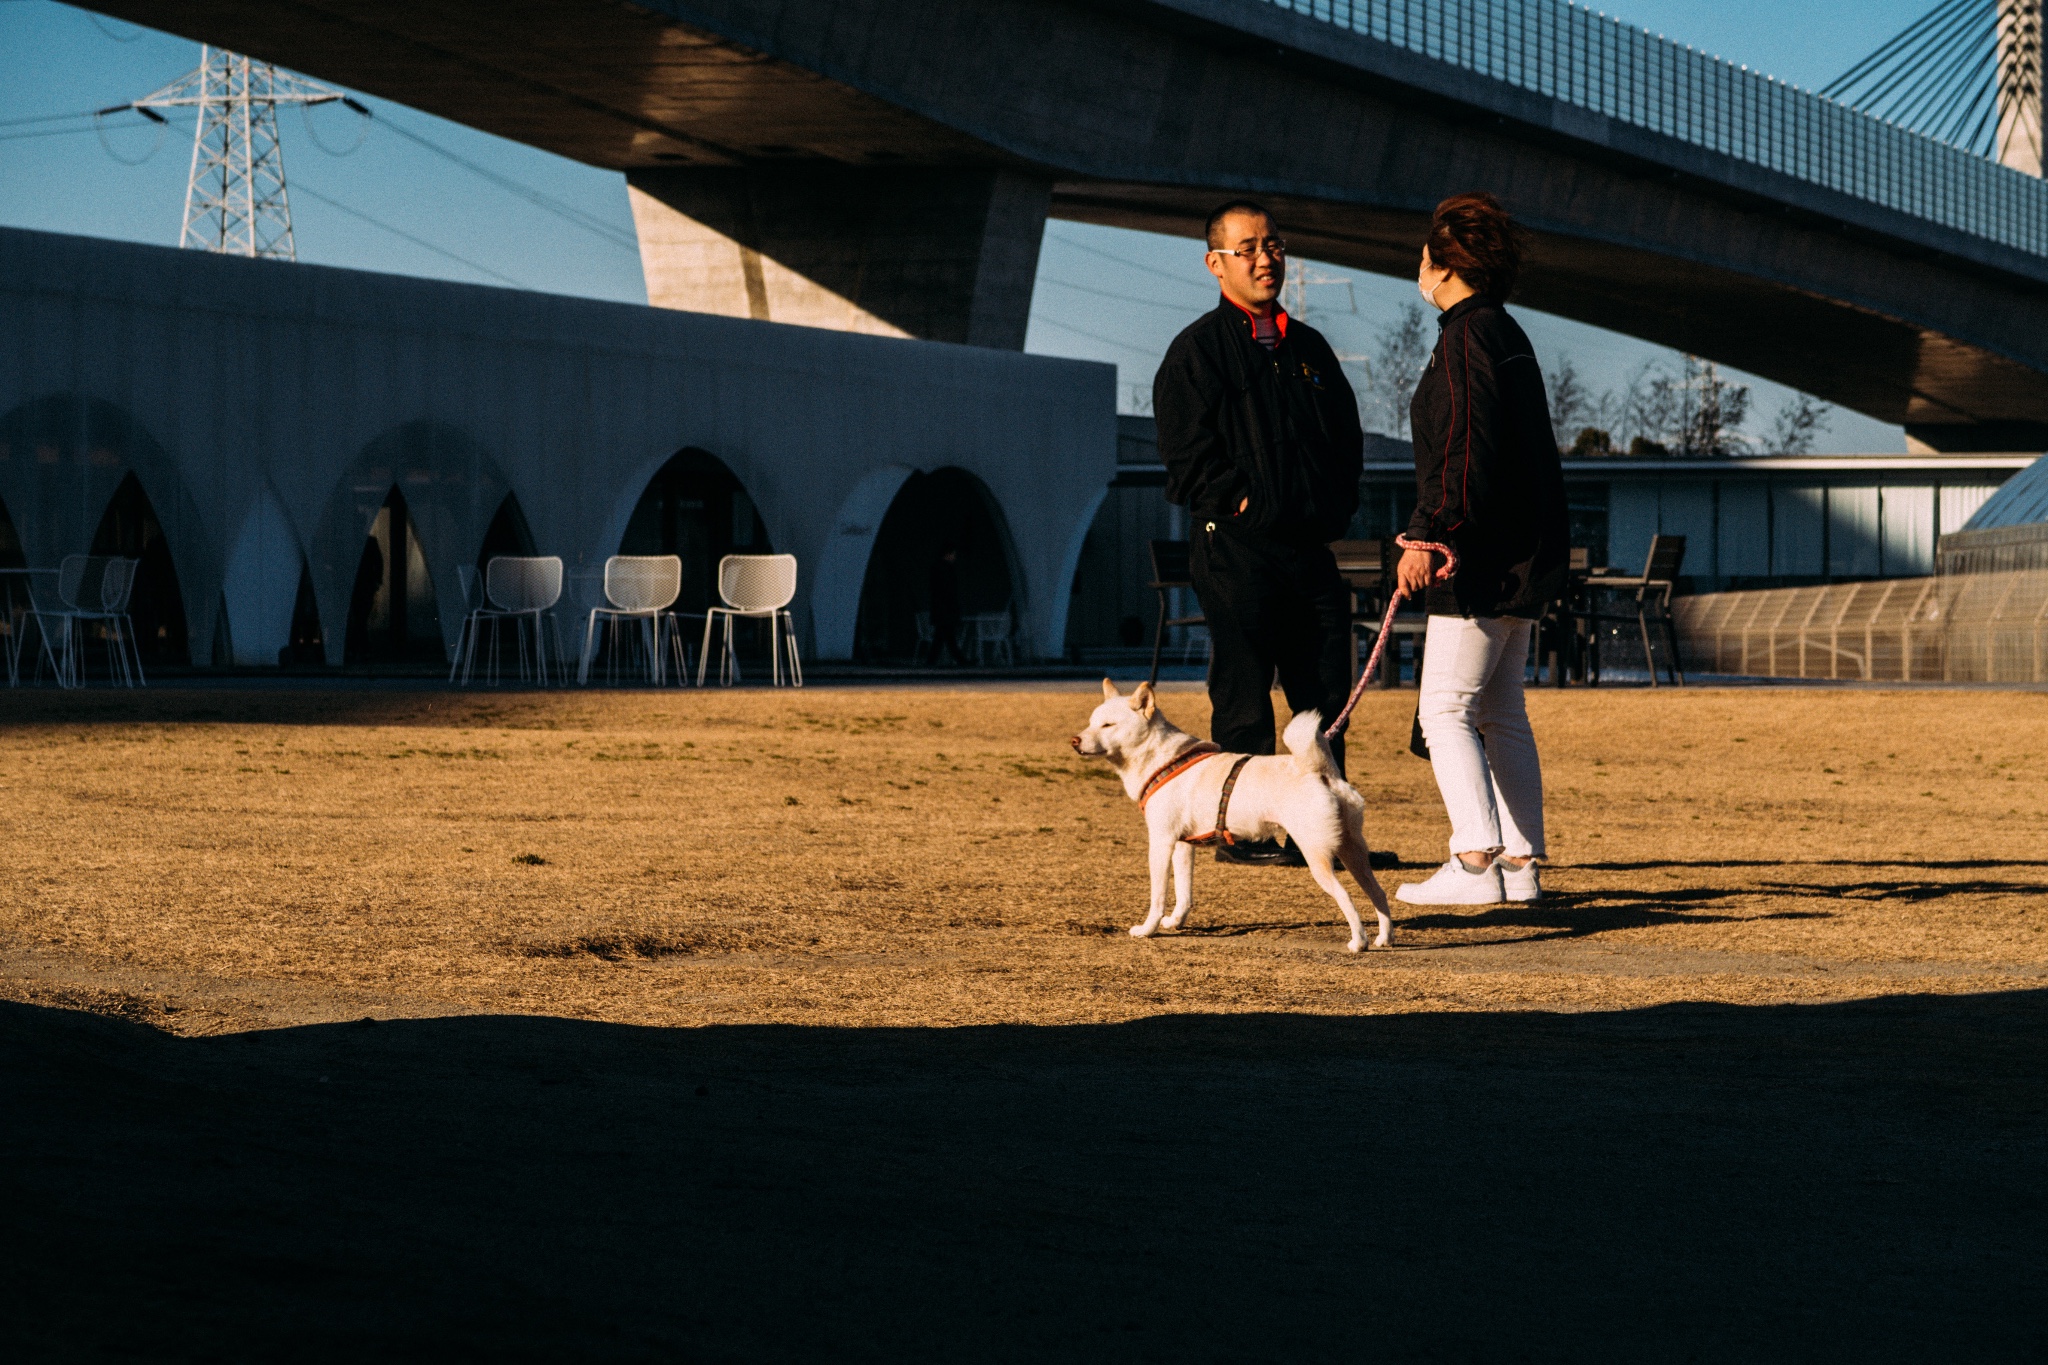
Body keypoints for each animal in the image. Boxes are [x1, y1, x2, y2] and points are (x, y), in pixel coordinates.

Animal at [1073, 679, 1392, 957]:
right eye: (1090, 722)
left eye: (1108, 725)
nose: (1075, 741)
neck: (1160, 759)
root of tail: (1319, 770)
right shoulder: (1183, 846)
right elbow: (1184, 893)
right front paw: (1175, 922)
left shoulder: (1161, 843)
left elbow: (1158, 896)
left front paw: (1147, 929)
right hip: (1353, 853)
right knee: (1379, 894)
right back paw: (1383, 938)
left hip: (1318, 857)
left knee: (1347, 897)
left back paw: (1359, 942)